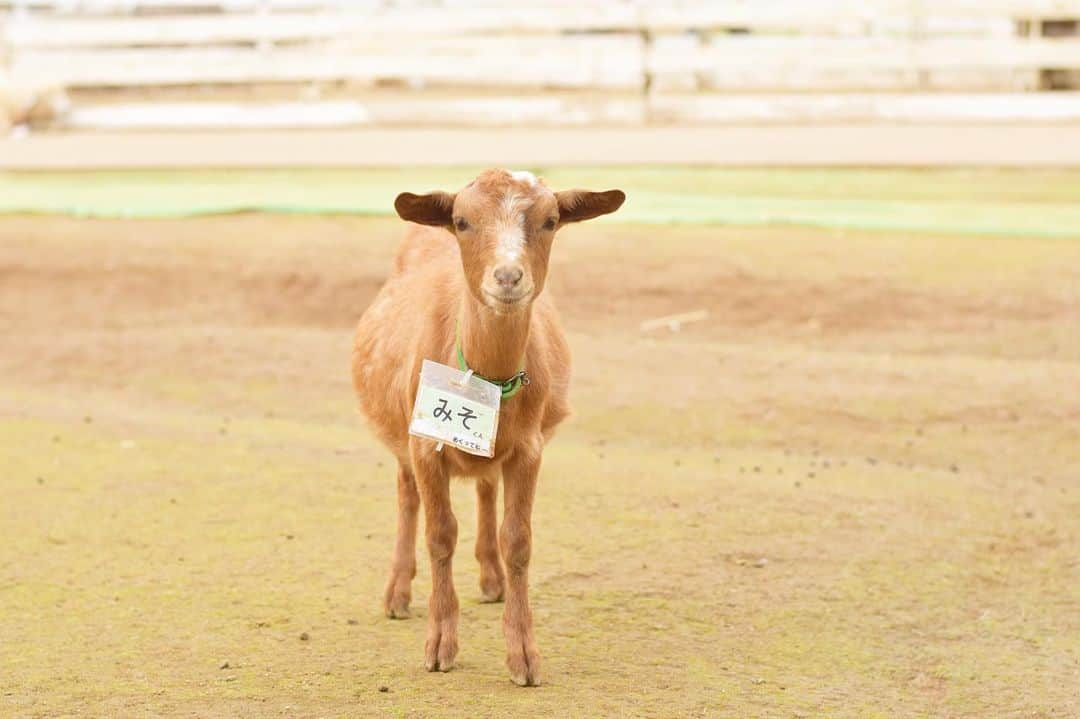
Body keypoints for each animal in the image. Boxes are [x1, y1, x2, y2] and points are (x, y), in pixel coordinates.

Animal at [354, 166, 626, 682]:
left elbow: (517, 540)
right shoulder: (425, 444)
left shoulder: (529, 449)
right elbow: (440, 534)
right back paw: (398, 593)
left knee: (485, 489)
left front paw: (524, 656)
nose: (507, 276)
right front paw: (440, 646)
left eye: (551, 220)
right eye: (462, 221)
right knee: (407, 496)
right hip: (400, 432)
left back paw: (491, 577)